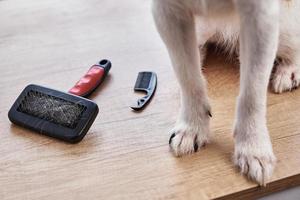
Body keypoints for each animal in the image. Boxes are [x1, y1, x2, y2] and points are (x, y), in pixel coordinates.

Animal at [152, 0, 300, 186]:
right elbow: (187, 75)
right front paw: (192, 127)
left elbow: (252, 92)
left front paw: (253, 146)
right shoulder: (168, 11)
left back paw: (290, 69)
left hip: (285, 27)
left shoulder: (262, 17)